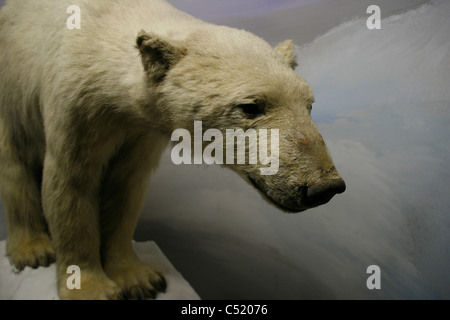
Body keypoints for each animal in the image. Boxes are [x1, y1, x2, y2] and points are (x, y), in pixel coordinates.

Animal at [0, 0, 346, 300]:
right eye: (251, 106)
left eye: (309, 104)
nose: (324, 187)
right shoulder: (76, 105)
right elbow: (71, 185)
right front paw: (90, 288)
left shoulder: (140, 130)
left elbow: (126, 188)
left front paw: (140, 278)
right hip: (10, 93)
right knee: (14, 163)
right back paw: (32, 248)